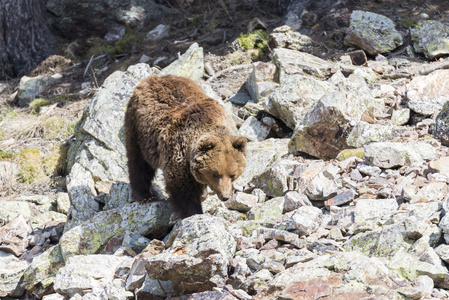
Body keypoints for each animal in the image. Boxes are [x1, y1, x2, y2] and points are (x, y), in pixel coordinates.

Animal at [124, 73, 247, 218]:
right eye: (216, 174)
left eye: (233, 175)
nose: (225, 196)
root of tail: (152, 78)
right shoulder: (178, 152)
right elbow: (182, 188)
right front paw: (193, 212)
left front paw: (202, 194)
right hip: (139, 129)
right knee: (138, 161)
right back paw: (144, 195)